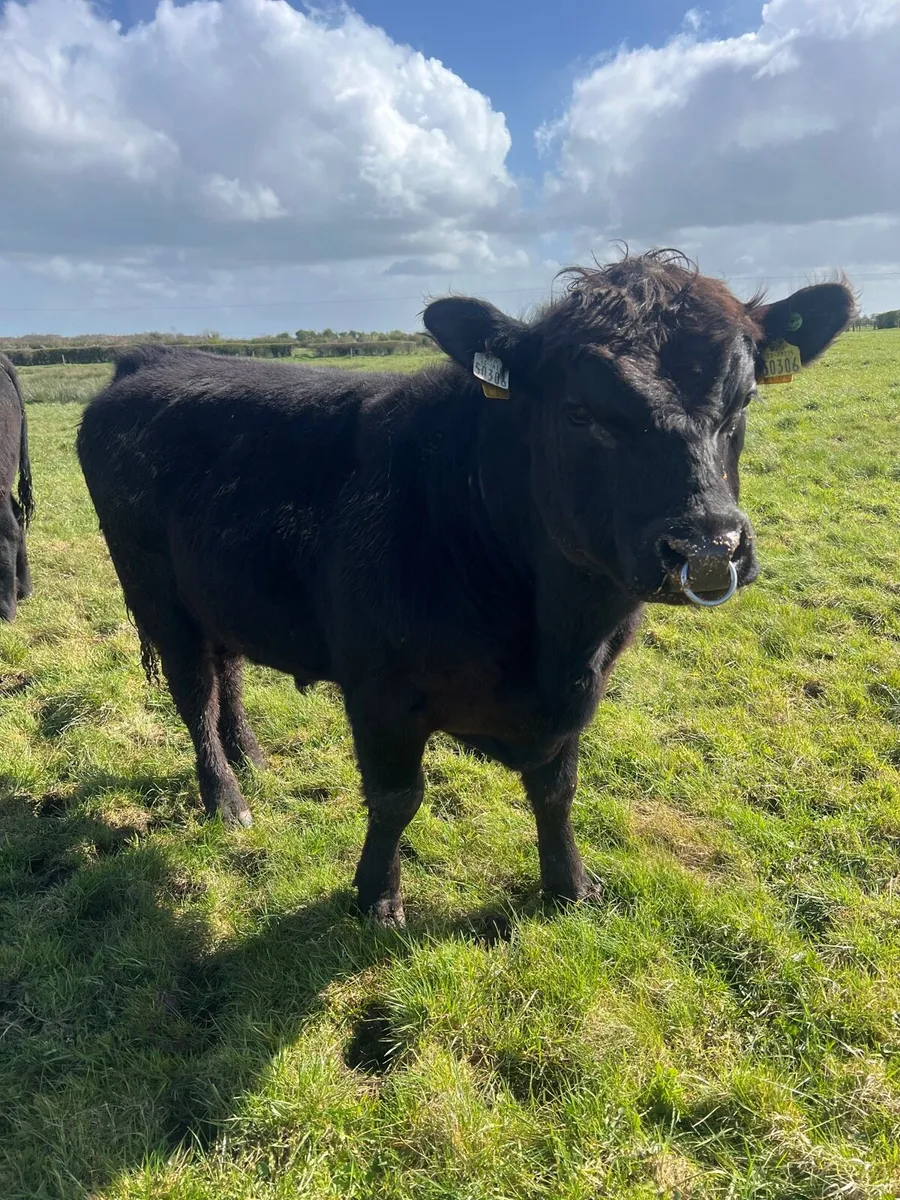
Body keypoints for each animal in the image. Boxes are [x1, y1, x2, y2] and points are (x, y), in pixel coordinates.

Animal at [76, 251, 854, 923]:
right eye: (579, 412)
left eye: (743, 400)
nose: (709, 548)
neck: (556, 634)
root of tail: (151, 357)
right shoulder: (381, 691)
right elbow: (396, 798)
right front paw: (377, 898)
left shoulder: (579, 693)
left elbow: (557, 791)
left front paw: (569, 884)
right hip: (157, 594)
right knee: (195, 698)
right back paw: (227, 797)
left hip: (219, 593)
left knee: (228, 672)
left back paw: (252, 757)